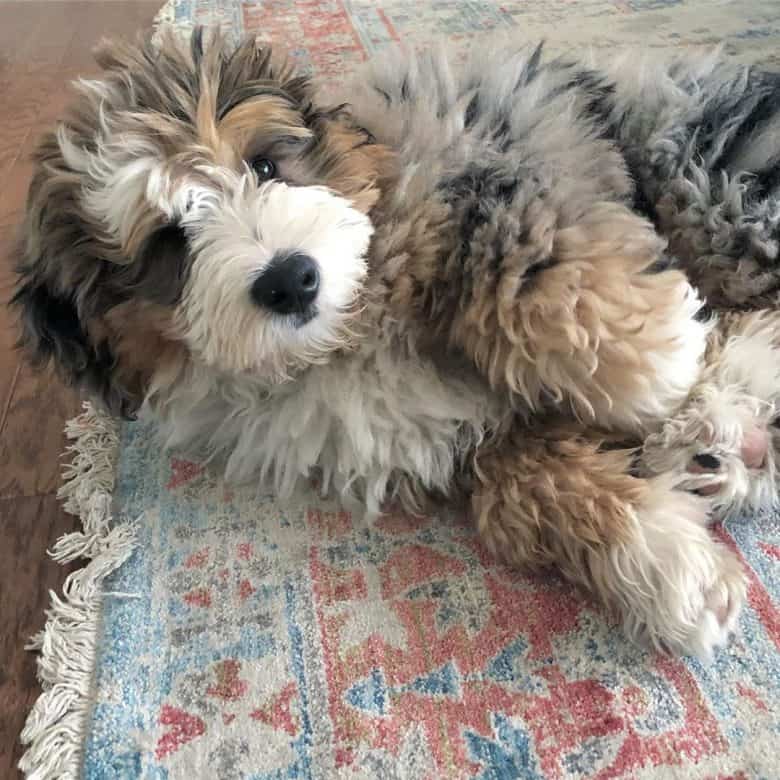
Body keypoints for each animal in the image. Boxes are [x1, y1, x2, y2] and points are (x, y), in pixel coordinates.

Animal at [10, 29, 780, 660]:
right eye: (169, 241)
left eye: (265, 167)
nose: (291, 278)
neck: (346, 339)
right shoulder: (469, 438)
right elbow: (529, 484)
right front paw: (671, 570)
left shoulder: (495, 169)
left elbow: (525, 277)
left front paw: (660, 361)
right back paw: (724, 436)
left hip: (706, 173)